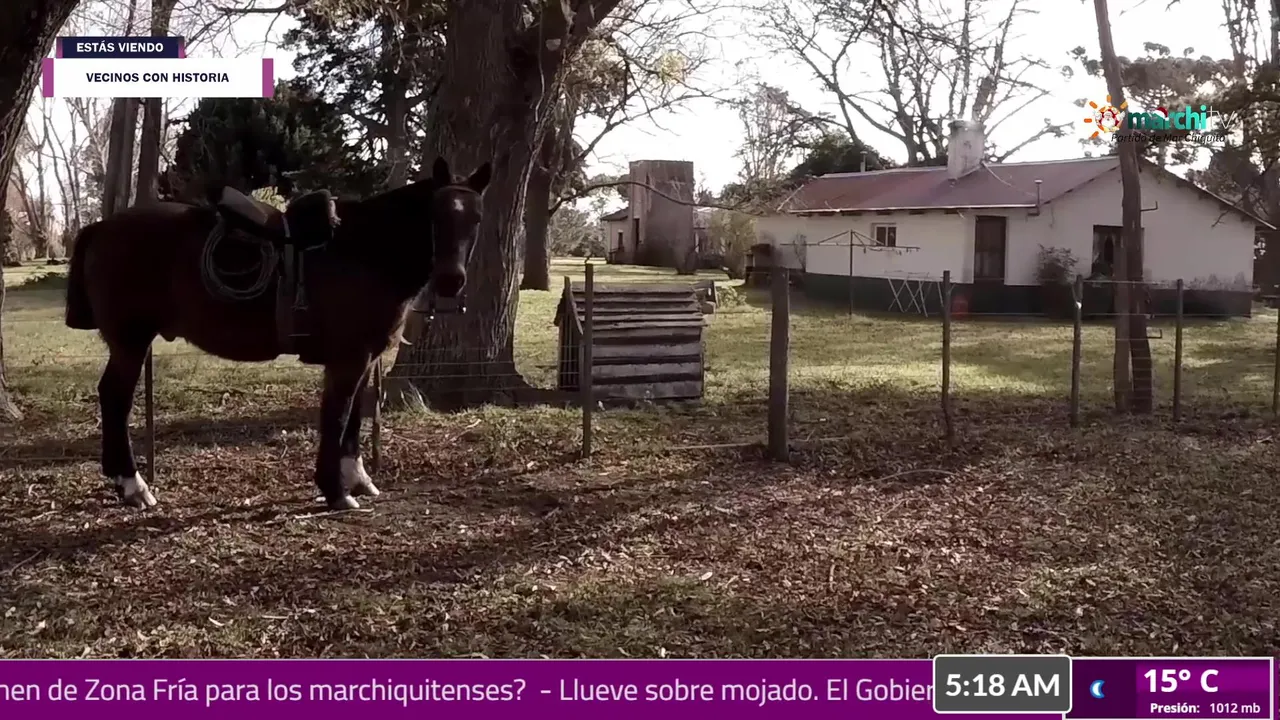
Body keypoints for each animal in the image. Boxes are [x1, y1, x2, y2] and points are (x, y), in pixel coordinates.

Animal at [63, 156, 492, 511]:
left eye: (476, 218)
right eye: (436, 215)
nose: (450, 280)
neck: (364, 251)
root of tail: (100, 227)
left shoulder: (362, 357)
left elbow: (353, 418)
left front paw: (357, 479)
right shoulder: (348, 358)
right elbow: (336, 418)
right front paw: (335, 491)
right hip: (130, 341)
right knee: (115, 399)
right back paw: (133, 484)